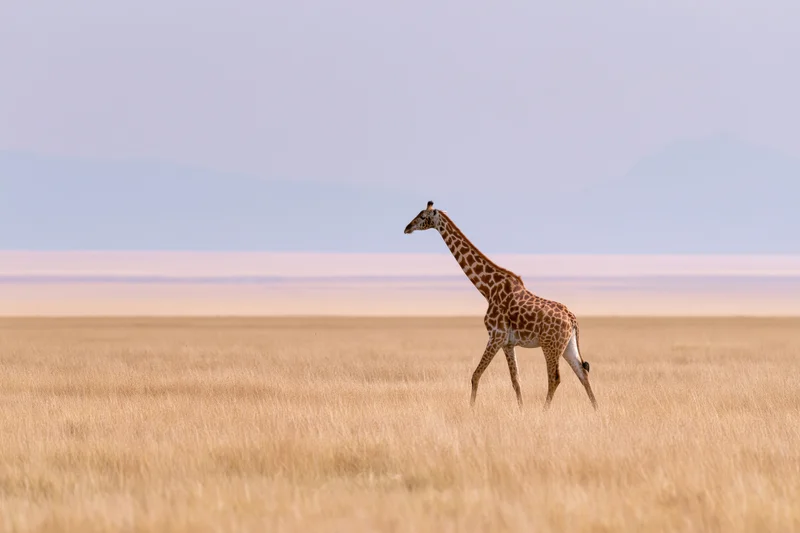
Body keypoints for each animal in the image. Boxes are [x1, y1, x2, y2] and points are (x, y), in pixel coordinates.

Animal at [404, 201, 597, 410]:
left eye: (423, 216)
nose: (407, 228)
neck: (487, 289)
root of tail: (572, 319)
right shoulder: (507, 343)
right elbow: (516, 380)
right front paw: (521, 410)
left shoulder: (495, 336)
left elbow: (475, 375)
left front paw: (471, 408)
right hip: (568, 345)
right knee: (582, 373)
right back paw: (596, 409)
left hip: (550, 345)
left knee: (555, 378)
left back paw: (545, 411)